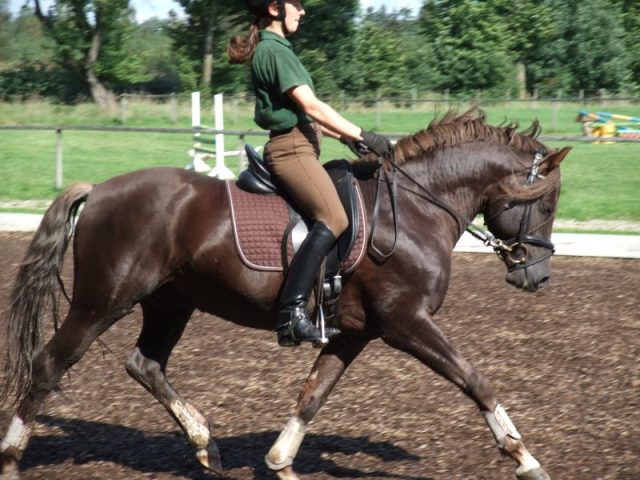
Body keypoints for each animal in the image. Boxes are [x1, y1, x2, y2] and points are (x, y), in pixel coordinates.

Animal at [0, 109, 568, 480]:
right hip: (102, 301)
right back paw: (10, 458)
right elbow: (474, 379)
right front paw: (524, 458)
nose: (536, 277)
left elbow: (312, 395)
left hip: (171, 301)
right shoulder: (406, 322)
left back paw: (206, 447)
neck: (415, 208)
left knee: (146, 364)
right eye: (544, 203)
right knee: (49, 365)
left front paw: (279, 461)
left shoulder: (355, 333)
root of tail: (99, 190)